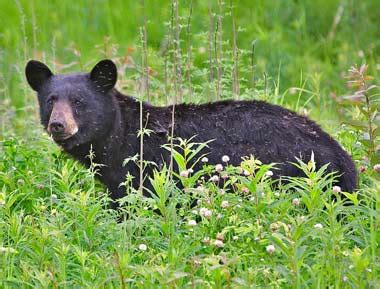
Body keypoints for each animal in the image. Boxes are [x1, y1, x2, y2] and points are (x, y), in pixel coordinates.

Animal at [25, 59, 358, 207]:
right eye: (51, 101)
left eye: (79, 102)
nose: (58, 124)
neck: (119, 140)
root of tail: (340, 154)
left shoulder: (145, 172)